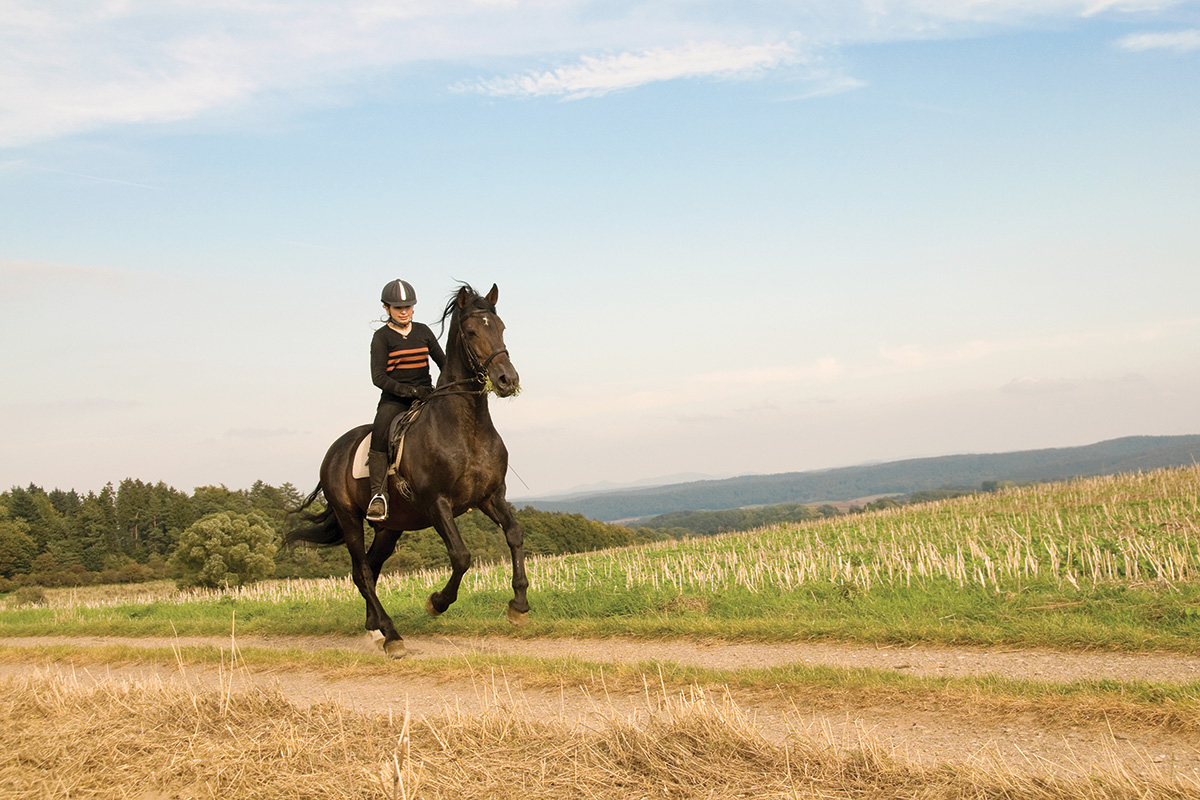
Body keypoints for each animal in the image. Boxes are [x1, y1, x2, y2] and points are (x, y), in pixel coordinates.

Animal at [285, 281, 530, 657]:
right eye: (472, 332)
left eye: (501, 328)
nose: (507, 380)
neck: (466, 427)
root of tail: (333, 452)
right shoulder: (437, 504)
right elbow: (461, 556)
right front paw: (437, 602)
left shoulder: (490, 496)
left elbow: (514, 534)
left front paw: (518, 606)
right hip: (349, 517)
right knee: (362, 572)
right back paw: (391, 636)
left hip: (390, 528)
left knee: (369, 568)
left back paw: (374, 629)